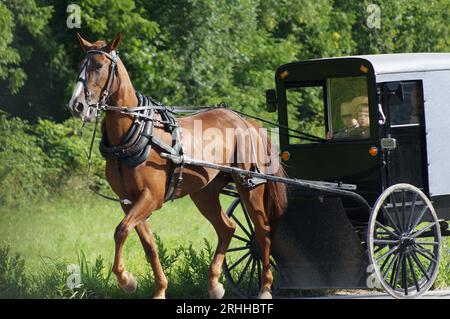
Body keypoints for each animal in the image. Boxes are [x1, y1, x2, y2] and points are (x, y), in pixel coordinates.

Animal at [67, 33, 284, 300]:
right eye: (81, 65)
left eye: (98, 66)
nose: (76, 105)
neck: (139, 132)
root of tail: (248, 123)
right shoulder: (128, 201)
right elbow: (147, 244)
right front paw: (158, 289)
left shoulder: (151, 197)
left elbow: (121, 230)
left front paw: (126, 280)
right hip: (204, 193)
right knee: (227, 228)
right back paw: (214, 284)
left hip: (250, 187)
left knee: (262, 232)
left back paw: (264, 288)